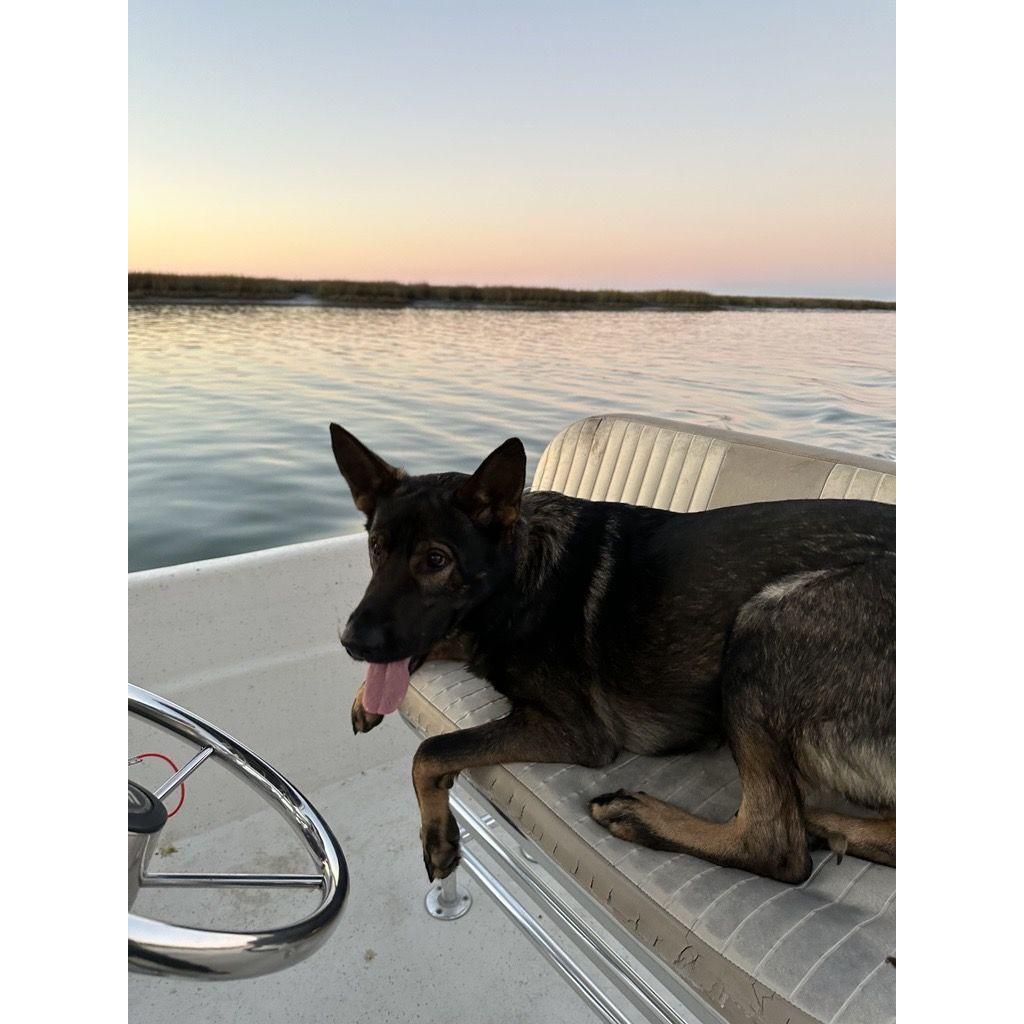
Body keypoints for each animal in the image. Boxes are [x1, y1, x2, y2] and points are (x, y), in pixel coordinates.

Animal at [331, 423, 895, 884]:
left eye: (435, 560)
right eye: (376, 548)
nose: (351, 642)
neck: (520, 572)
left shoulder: (574, 732)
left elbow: (432, 751)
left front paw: (436, 834)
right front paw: (365, 696)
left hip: (765, 620)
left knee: (775, 844)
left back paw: (642, 819)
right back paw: (827, 823)